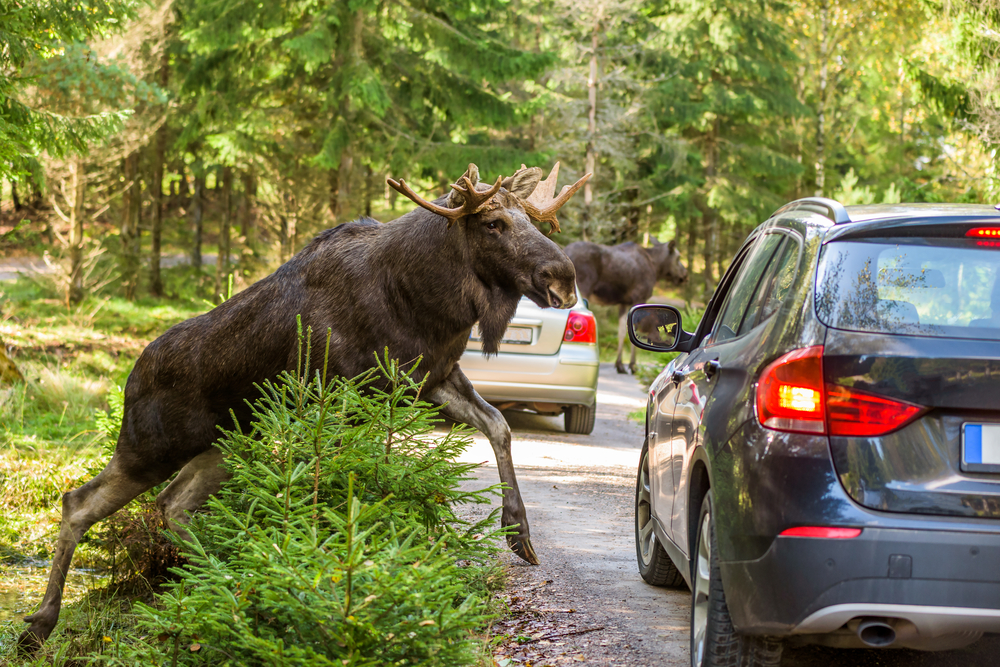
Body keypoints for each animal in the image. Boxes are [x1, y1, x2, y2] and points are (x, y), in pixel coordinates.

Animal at [19, 160, 588, 652]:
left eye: (533, 221)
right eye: (493, 223)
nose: (563, 277)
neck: (426, 302)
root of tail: (129, 379)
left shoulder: (432, 378)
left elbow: (499, 426)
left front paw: (518, 532)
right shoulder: (344, 395)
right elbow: (341, 483)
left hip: (223, 447)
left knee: (172, 504)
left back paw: (232, 571)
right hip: (151, 446)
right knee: (79, 502)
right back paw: (41, 625)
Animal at [564, 239, 688, 376]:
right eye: (678, 257)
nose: (685, 275)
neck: (656, 266)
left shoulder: (623, 303)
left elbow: (622, 332)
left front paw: (619, 365)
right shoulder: (640, 298)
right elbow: (638, 331)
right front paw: (632, 365)